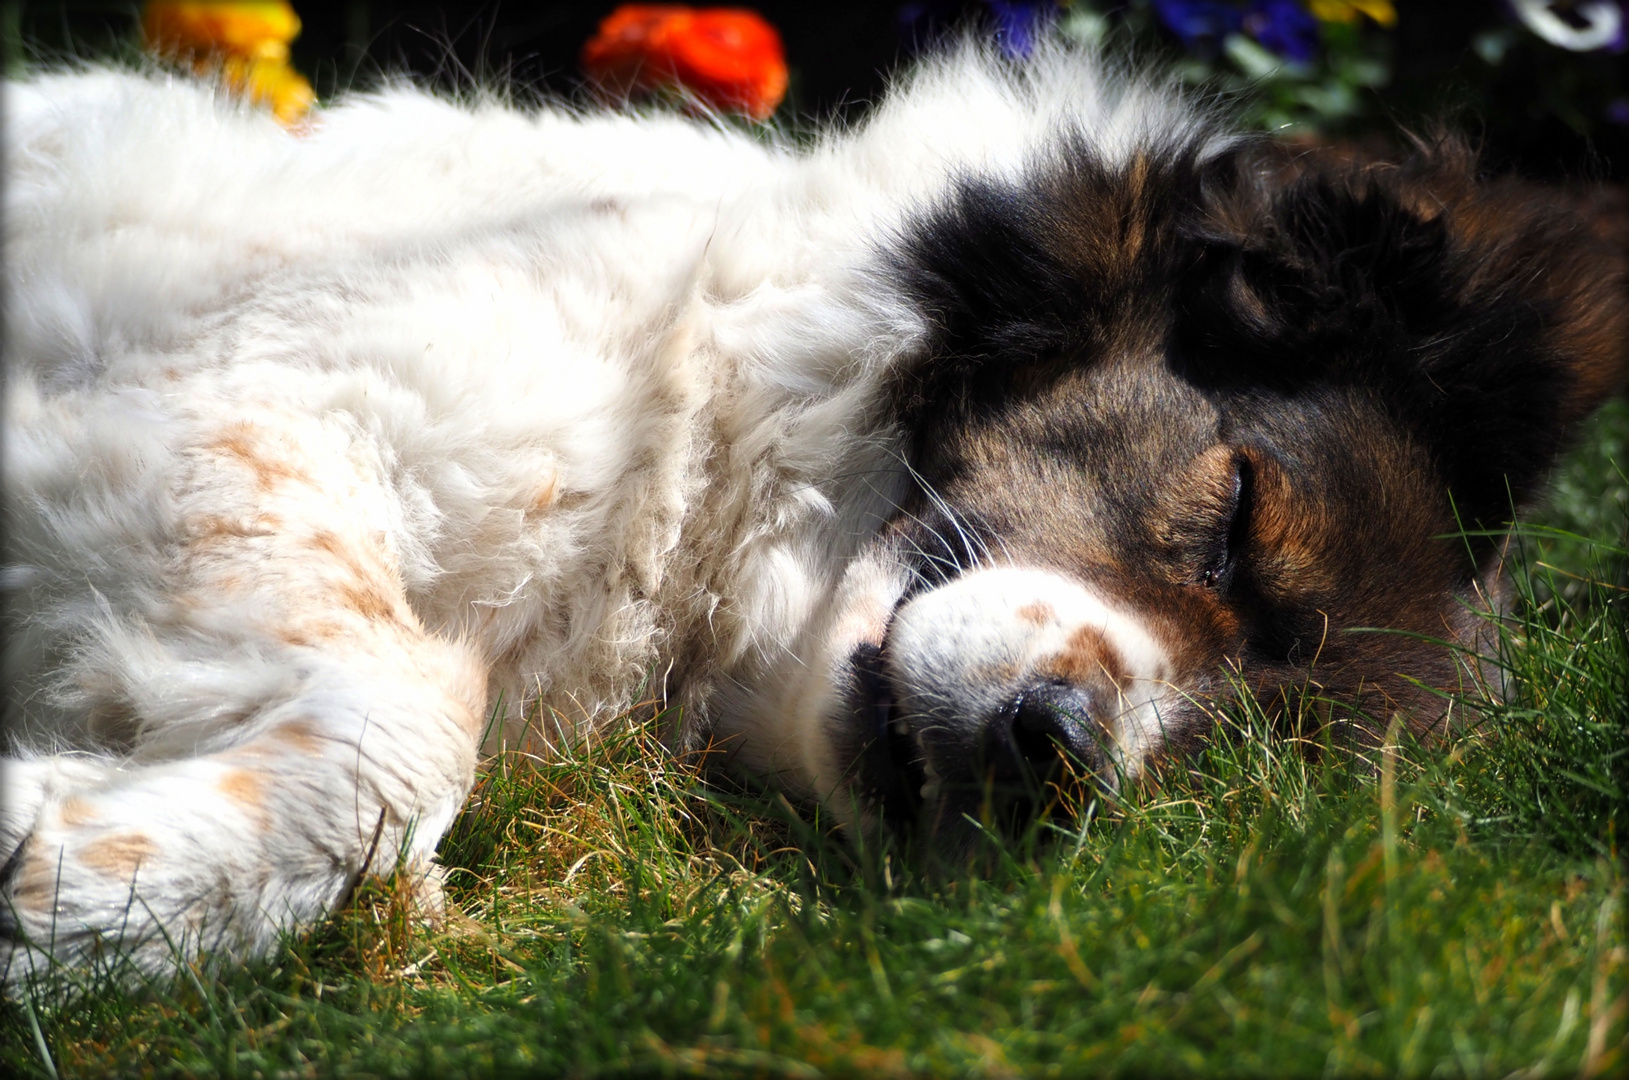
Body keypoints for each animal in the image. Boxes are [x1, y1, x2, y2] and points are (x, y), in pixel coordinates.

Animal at [0, 44, 1622, 990]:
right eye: (1231, 515)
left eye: (1239, 785)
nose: (1056, 752)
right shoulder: (213, 399)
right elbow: (401, 726)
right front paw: (51, 888)